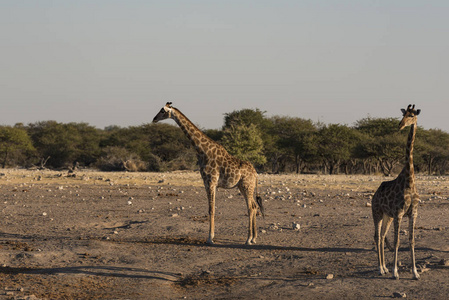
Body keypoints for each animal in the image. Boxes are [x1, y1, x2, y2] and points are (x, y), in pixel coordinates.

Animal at [151, 102, 262, 245]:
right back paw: (254, 238)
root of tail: (255, 174)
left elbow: (211, 209)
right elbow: (211, 209)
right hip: (243, 186)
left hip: (247, 185)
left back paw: (248, 239)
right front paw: (211, 237)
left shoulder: (211, 181)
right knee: (254, 205)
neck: (202, 151)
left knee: (250, 208)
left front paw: (210, 238)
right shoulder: (205, 182)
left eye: (163, 111)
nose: (154, 119)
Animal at [372, 104, 420, 280]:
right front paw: (395, 272)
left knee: (382, 236)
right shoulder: (399, 213)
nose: (400, 125)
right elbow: (397, 241)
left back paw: (384, 268)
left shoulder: (413, 213)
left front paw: (415, 272)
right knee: (377, 236)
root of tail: (375, 194)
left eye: (412, 115)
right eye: (403, 114)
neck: (409, 180)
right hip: (377, 212)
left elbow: (411, 241)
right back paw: (380, 268)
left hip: (388, 216)